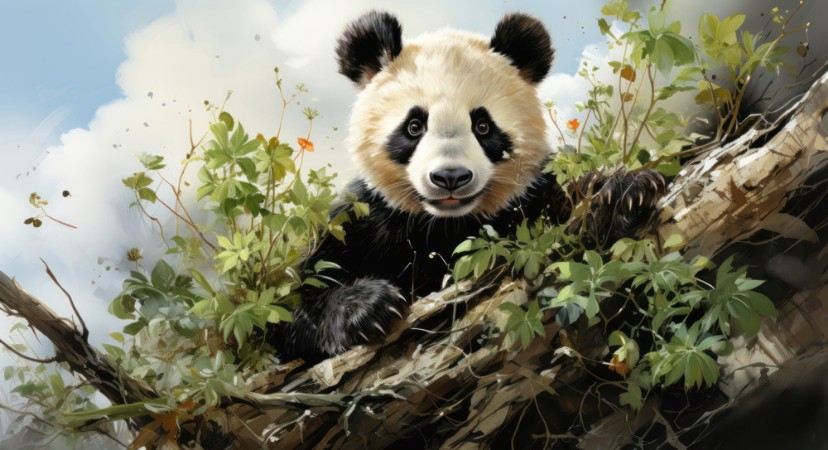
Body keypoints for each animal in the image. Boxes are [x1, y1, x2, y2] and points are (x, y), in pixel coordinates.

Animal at [275, 11, 666, 361]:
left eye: (483, 126)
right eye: (414, 126)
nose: (450, 177)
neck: (446, 225)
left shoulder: (530, 196)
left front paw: (622, 193)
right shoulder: (362, 219)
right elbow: (289, 305)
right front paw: (369, 307)